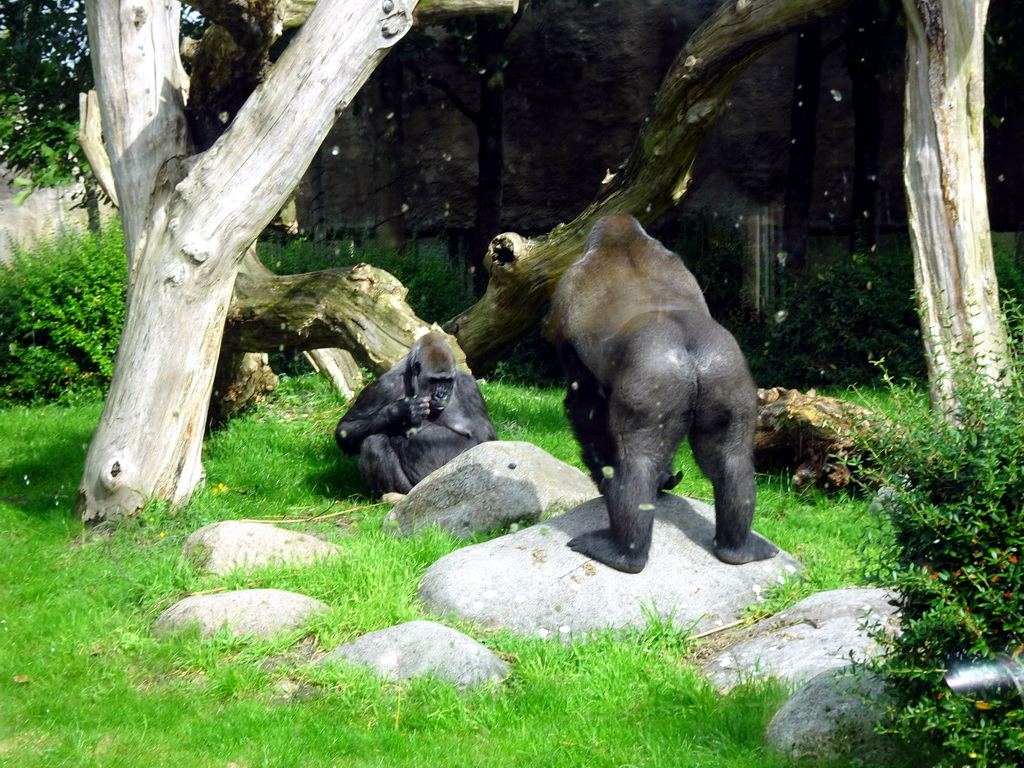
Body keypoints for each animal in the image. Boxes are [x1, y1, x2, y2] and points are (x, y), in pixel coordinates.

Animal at [335, 333, 495, 495]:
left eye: (448, 380)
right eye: (434, 381)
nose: (441, 395)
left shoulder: (469, 386)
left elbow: (486, 438)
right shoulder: (384, 386)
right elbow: (346, 428)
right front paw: (399, 411)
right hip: (413, 489)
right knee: (374, 442)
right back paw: (392, 495)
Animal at [544, 214, 774, 573]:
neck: (623, 242)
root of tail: (690, 352)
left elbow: (585, 408)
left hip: (656, 379)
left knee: (636, 462)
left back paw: (623, 553)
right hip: (727, 374)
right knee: (731, 458)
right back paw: (739, 548)